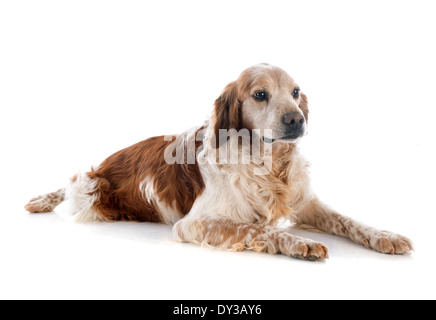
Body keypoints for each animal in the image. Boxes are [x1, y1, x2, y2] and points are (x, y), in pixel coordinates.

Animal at [25, 63, 414, 262]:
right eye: (260, 94)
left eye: (295, 92)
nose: (297, 119)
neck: (265, 164)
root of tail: (107, 162)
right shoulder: (194, 224)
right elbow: (259, 229)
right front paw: (298, 243)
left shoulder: (306, 203)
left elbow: (348, 220)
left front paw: (385, 235)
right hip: (91, 190)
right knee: (70, 185)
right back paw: (41, 200)